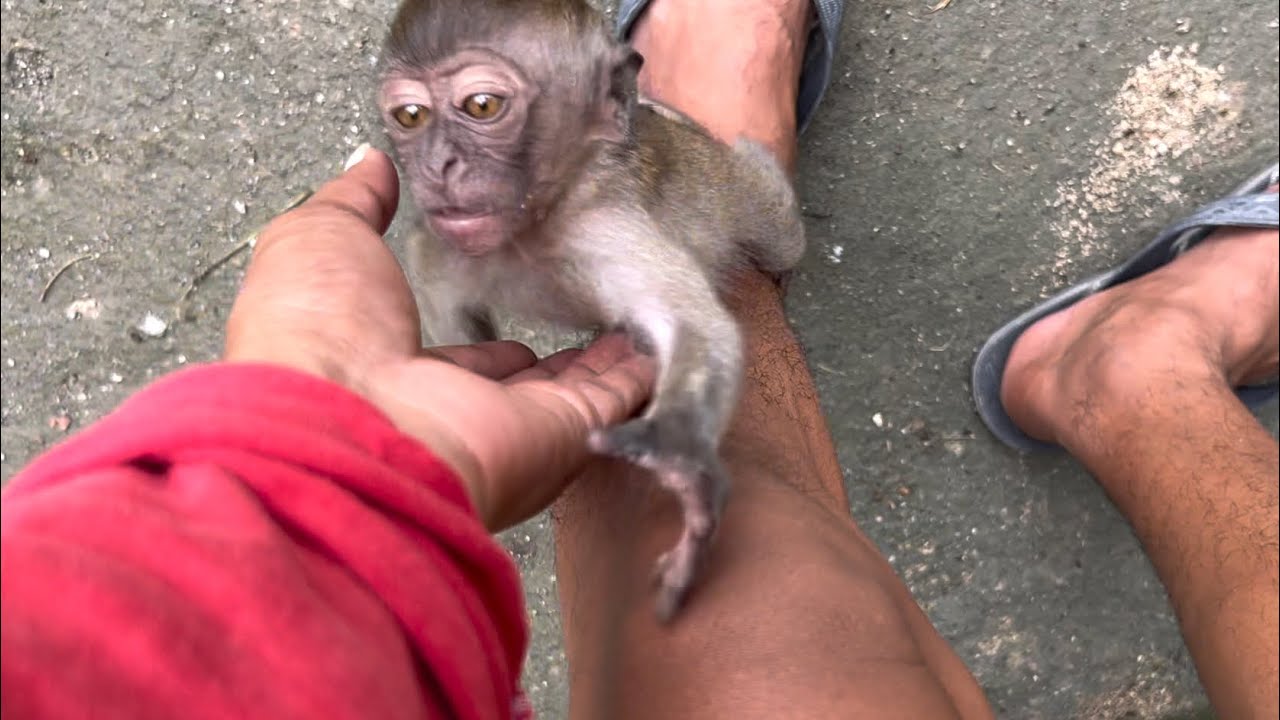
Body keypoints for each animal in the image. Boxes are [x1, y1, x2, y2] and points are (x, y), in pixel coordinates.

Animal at [376, 0, 806, 621]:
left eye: (482, 106)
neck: (540, 223)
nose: (437, 165)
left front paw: (677, 460)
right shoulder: (454, 243)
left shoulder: (606, 230)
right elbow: (428, 269)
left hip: (743, 192)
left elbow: (693, 323)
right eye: (410, 115)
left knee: (779, 234)